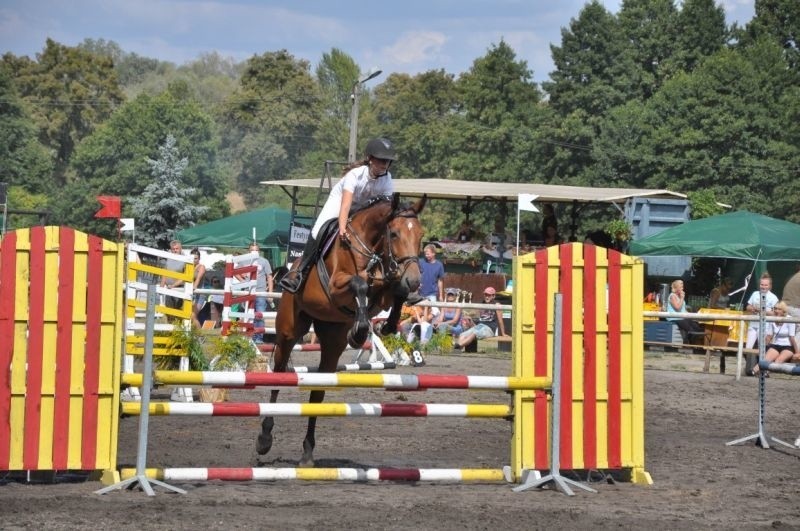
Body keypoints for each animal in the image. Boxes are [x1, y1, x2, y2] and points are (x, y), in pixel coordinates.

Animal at [260, 194, 428, 466]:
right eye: (393, 234)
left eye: (420, 235)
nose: (414, 280)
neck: (371, 248)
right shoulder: (337, 285)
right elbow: (359, 284)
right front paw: (359, 331)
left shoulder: (384, 290)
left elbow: (395, 292)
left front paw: (387, 325)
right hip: (288, 332)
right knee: (278, 375)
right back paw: (264, 439)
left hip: (332, 342)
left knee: (318, 393)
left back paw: (307, 452)